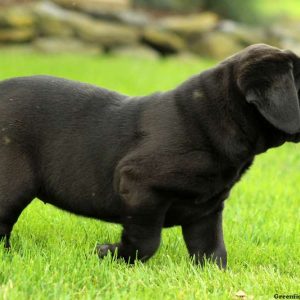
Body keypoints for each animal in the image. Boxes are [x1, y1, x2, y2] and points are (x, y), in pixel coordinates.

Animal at [0, 42, 300, 268]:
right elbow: (146, 241)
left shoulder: (206, 210)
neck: (217, 120)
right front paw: (109, 254)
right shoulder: (140, 187)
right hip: (13, 184)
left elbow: (213, 250)